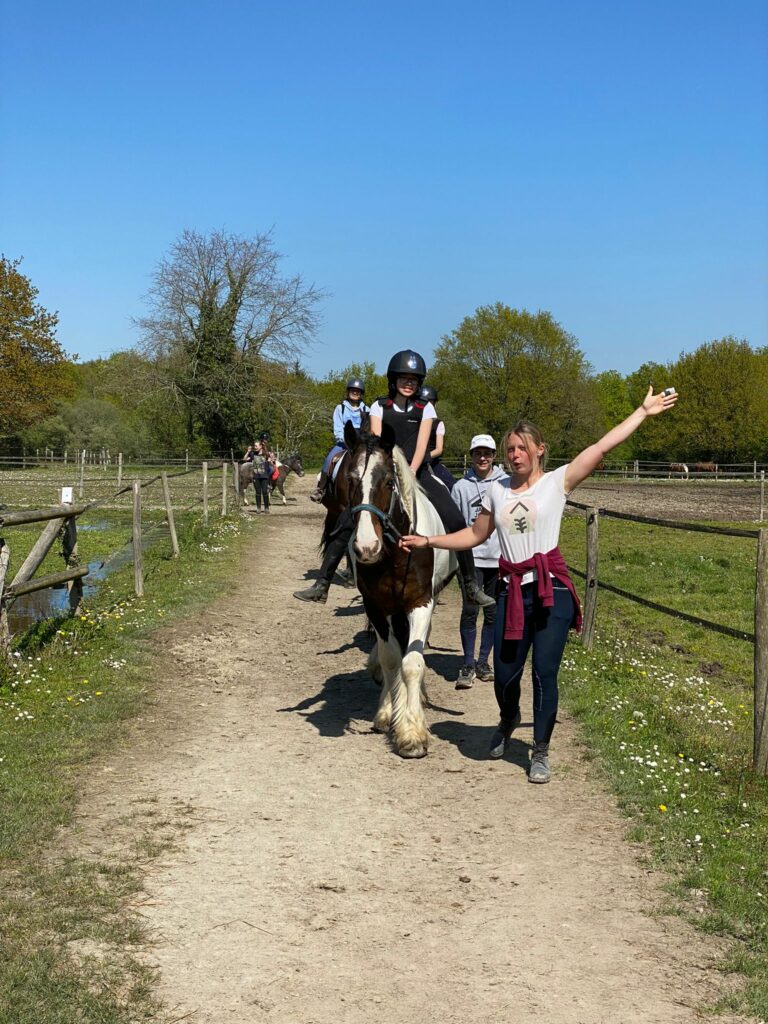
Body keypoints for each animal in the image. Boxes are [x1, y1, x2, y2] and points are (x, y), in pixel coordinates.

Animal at [331, 419, 456, 757]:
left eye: (389, 482)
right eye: (350, 480)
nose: (366, 547)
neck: (396, 553)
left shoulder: (420, 603)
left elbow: (412, 662)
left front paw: (411, 733)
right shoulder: (377, 606)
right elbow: (390, 659)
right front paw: (388, 713)